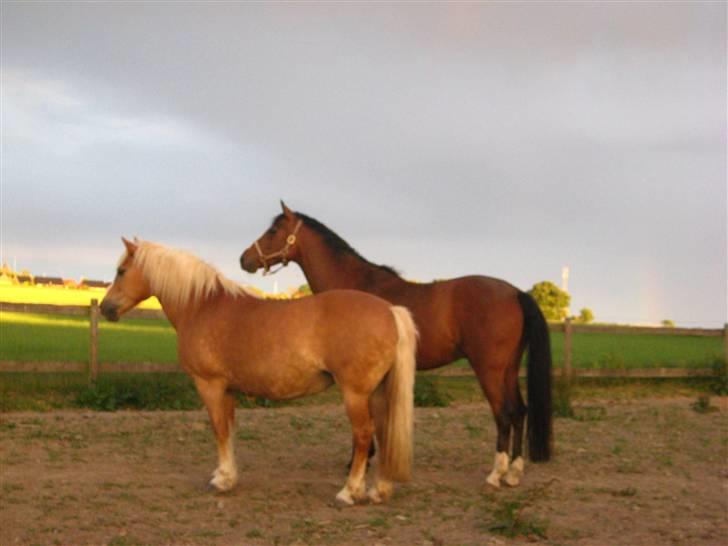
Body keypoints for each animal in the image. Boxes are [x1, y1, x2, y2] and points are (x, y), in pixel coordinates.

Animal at [100, 236, 418, 504]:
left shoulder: (209, 385)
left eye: (121, 271)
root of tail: (390, 310)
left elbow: (219, 429)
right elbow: (229, 429)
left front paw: (222, 480)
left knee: (363, 436)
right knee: (384, 432)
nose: (105, 308)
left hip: (355, 393)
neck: (202, 305)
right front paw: (227, 475)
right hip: (377, 392)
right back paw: (379, 490)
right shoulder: (227, 389)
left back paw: (349, 493)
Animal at [239, 202, 552, 486]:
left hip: (489, 370)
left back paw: (497, 474)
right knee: (519, 411)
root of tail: (515, 293)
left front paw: (358, 463)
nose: (244, 259)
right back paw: (514, 473)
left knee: (504, 414)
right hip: (509, 369)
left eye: (274, 230)